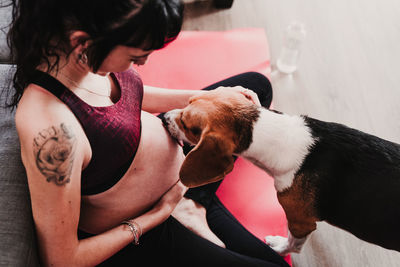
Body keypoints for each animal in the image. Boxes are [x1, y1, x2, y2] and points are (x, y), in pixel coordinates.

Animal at [162, 88, 400, 255]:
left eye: (186, 124)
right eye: (188, 101)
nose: (164, 117)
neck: (277, 136)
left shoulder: (301, 222)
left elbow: (293, 244)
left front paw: (279, 247)